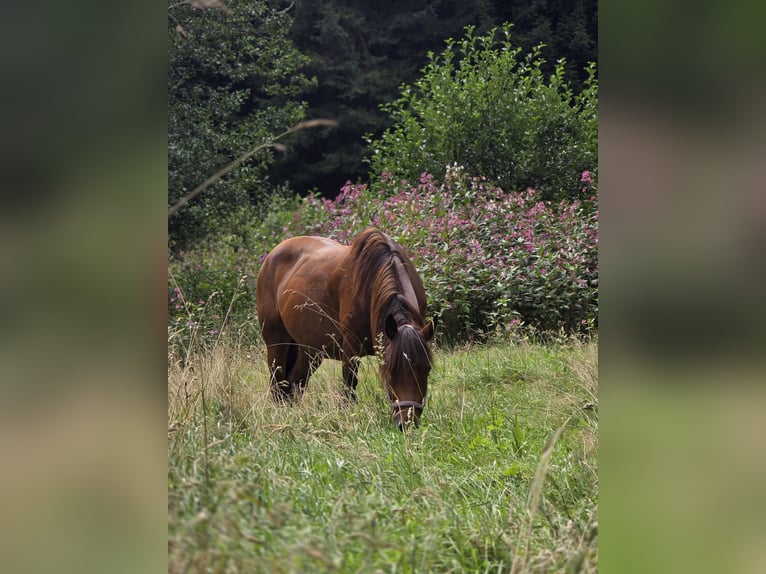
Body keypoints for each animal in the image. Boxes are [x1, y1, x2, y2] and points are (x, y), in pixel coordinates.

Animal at [256, 227, 436, 430]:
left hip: (310, 351)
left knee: (294, 384)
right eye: (390, 370)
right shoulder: (350, 350)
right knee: (278, 385)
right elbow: (348, 387)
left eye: (427, 369)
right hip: (277, 343)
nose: (407, 423)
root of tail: (270, 257)